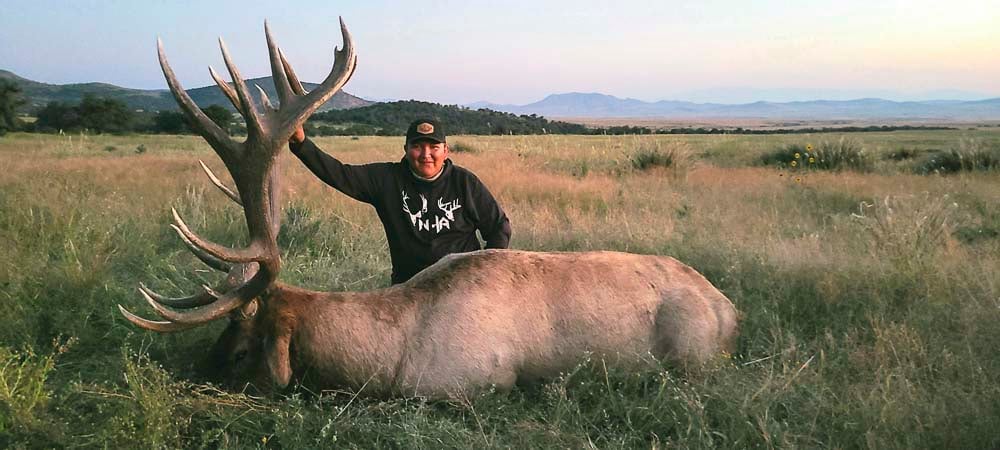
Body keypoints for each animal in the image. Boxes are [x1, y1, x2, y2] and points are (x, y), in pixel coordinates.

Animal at [119, 18, 739, 399]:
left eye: (242, 346)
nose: (192, 375)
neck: (394, 357)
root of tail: (729, 308)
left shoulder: (469, 386)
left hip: (693, 355)